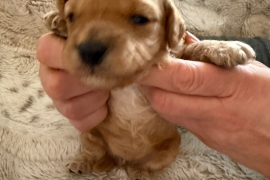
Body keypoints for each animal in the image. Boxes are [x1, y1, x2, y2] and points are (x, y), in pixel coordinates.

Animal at [43, 0, 255, 179]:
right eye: (72, 17)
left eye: (140, 19)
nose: (90, 50)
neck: (130, 82)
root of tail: (121, 159)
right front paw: (58, 21)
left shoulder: (176, 53)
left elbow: (191, 49)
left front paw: (224, 48)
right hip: (88, 133)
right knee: (96, 153)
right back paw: (83, 162)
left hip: (171, 148)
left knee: (146, 165)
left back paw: (139, 172)